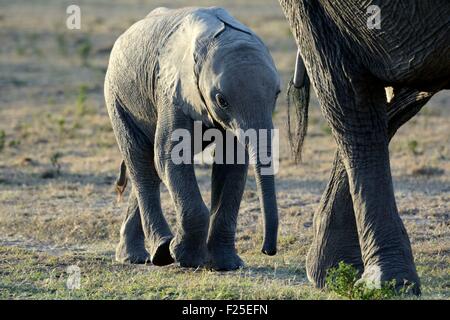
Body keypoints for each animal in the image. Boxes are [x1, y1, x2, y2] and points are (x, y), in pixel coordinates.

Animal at [106, 6, 282, 268]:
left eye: (277, 94)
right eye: (222, 100)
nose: (267, 250)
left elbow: (231, 165)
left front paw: (226, 265)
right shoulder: (171, 90)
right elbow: (169, 156)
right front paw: (188, 259)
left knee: (147, 171)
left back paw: (135, 257)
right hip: (117, 98)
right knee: (142, 164)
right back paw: (159, 252)